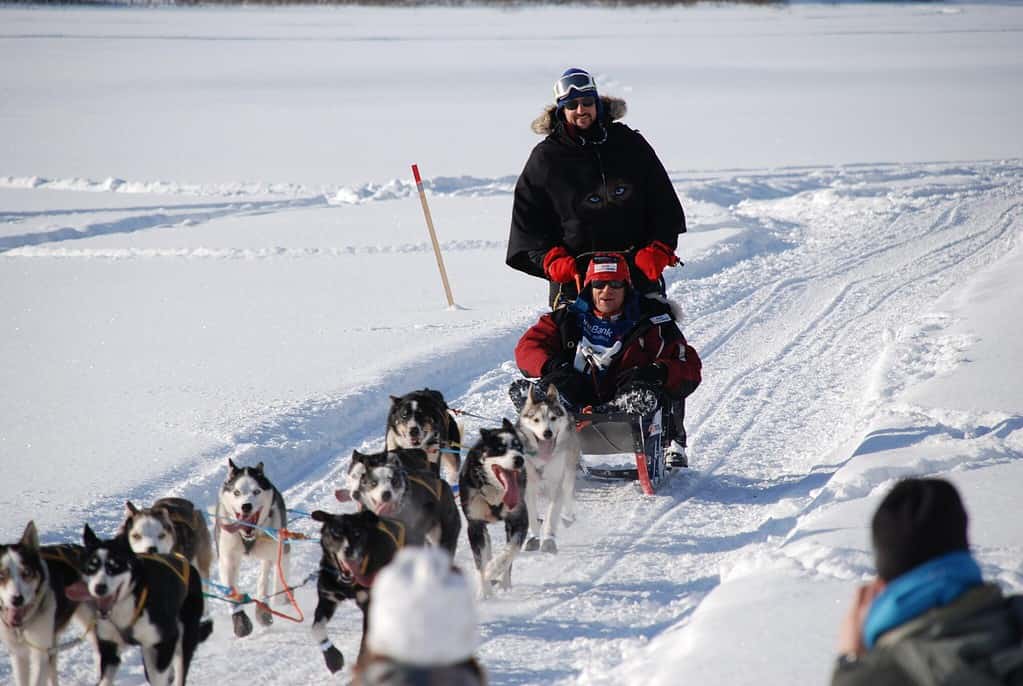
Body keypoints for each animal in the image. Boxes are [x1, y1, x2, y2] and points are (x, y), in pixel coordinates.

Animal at [0, 521, 93, 686]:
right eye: (1, 575)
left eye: (27, 572)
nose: (17, 599)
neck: (22, 627)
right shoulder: (18, 654)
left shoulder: (40, 653)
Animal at [213, 458, 290, 642]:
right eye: (236, 492)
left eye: (256, 491)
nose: (246, 506)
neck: (248, 536)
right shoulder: (227, 559)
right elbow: (231, 591)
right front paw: (241, 622)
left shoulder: (272, 553)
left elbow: (264, 580)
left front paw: (264, 610)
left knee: (278, 569)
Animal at [306, 509, 407, 674]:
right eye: (336, 532)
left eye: (357, 533)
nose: (348, 550)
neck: (350, 585)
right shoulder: (327, 598)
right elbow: (316, 629)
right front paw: (332, 657)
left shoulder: (371, 606)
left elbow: (365, 648)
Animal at [460, 415, 531, 597]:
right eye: (500, 449)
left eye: (518, 447)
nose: (519, 459)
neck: (496, 491)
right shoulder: (475, 525)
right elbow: (480, 562)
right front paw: (484, 592)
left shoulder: (519, 519)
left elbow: (510, 551)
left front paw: (494, 569)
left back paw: (504, 584)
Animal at [515, 384, 581, 556]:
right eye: (536, 420)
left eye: (553, 418)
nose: (547, 433)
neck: (542, 459)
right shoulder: (528, 487)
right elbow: (532, 516)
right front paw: (534, 537)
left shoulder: (555, 484)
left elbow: (551, 515)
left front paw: (549, 540)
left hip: (569, 472)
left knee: (567, 495)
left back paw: (568, 517)